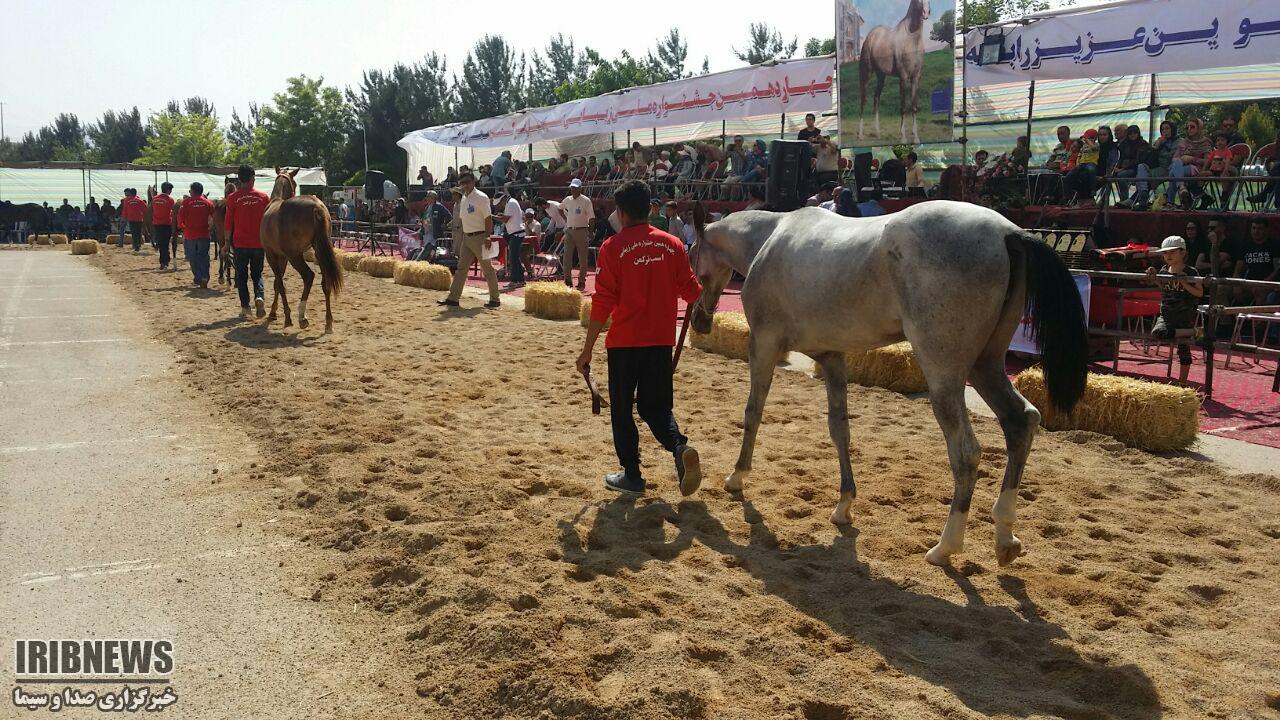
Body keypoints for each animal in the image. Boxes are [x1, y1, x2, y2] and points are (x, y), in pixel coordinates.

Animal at [259, 167, 343, 330]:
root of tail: (316, 206)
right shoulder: (282, 257)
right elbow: (277, 284)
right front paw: (273, 312)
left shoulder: (271, 255)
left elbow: (279, 284)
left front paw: (286, 317)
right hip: (319, 252)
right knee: (326, 283)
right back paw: (328, 321)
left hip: (295, 256)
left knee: (308, 276)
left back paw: (302, 317)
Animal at [696, 203, 1085, 566]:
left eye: (695, 261)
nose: (699, 320)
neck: (770, 237)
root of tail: (1008, 232)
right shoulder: (832, 357)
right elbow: (839, 429)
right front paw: (844, 505)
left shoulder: (763, 344)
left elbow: (753, 412)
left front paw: (737, 476)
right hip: (985, 365)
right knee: (1021, 421)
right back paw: (1004, 538)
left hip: (945, 375)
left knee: (966, 452)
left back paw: (946, 546)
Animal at [860, 0, 931, 143]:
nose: (926, 12)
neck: (911, 39)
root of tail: (870, 36)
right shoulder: (903, 77)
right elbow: (903, 107)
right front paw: (903, 137)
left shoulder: (916, 77)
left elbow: (914, 106)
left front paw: (916, 137)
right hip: (866, 74)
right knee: (863, 100)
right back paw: (860, 135)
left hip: (881, 76)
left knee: (876, 99)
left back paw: (878, 133)